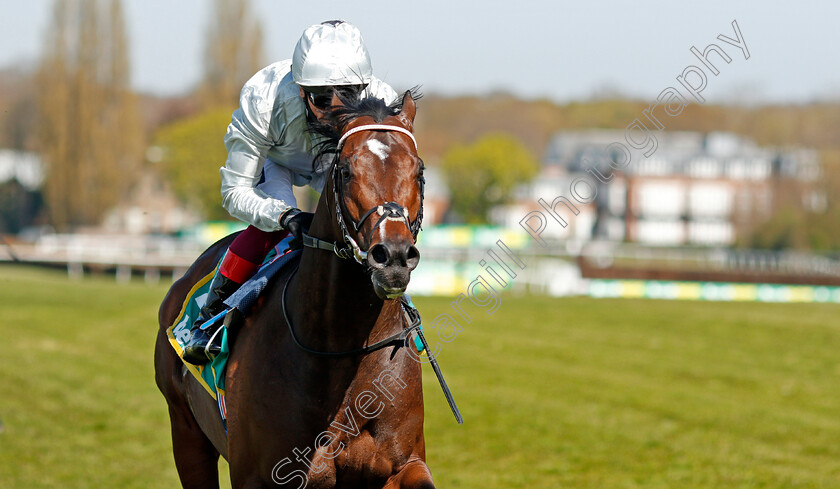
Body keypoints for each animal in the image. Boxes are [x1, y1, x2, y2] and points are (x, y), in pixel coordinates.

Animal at [153, 91, 436, 488]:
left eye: (419, 172)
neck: (344, 352)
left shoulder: (403, 464)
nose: (393, 256)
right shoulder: (257, 474)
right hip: (186, 431)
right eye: (345, 171)